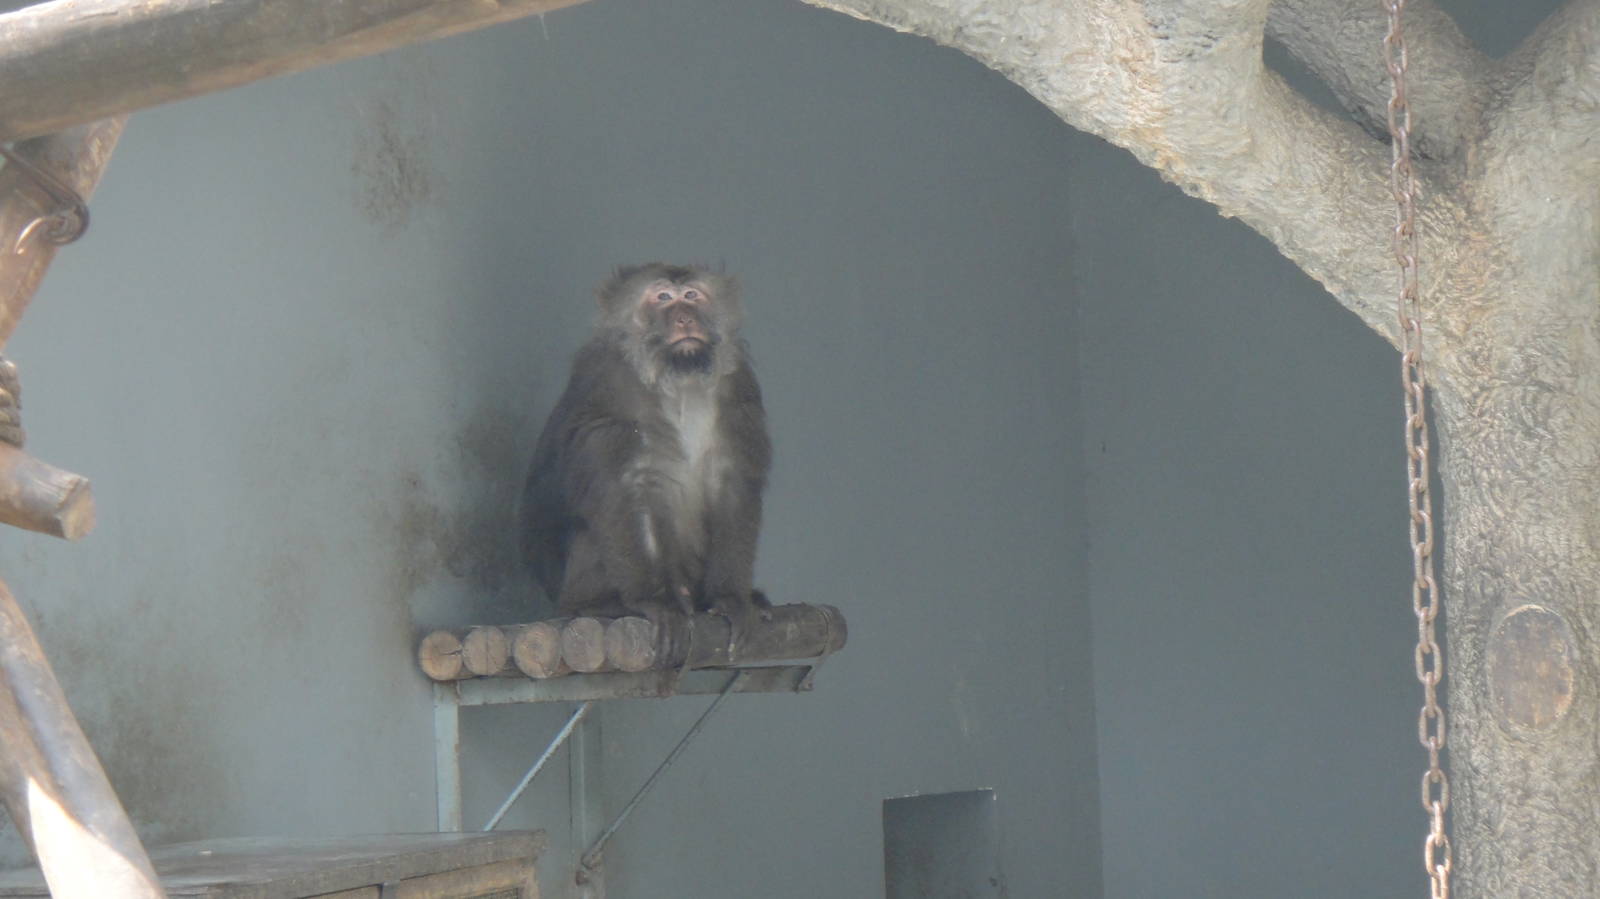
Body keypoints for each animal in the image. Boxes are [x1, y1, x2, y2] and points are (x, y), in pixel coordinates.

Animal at [521, 263, 772, 633]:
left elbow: (733, 483)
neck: (680, 382)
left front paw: (731, 598)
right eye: (663, 297)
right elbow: (626, 488)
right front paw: (651, 599)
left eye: (692, 295)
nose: (684, 318)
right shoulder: (610, 384)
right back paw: (599, 604)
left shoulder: (738, 384)